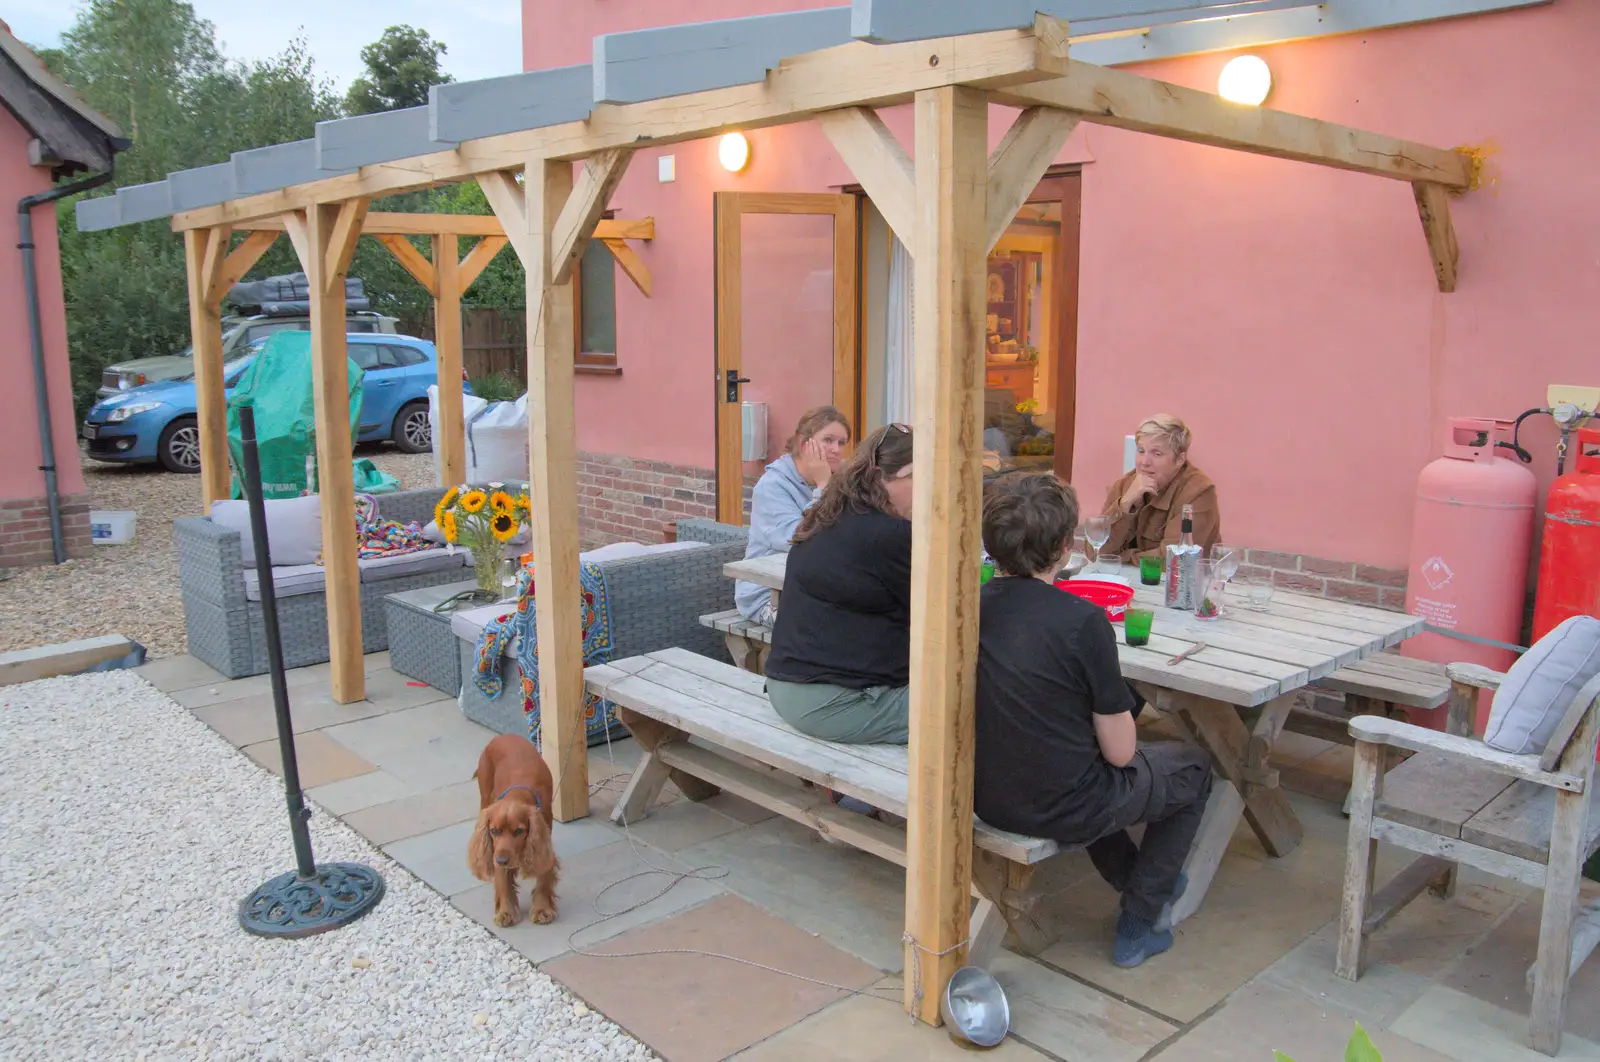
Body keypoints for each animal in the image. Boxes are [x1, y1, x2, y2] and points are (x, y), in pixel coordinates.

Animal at [467, 735, 560, 927]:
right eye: (494, 831)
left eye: (518, 831)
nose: (502, 860)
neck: (519, 792)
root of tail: (502, 736)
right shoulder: (498, 851)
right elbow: (502, 879)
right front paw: (505, 912)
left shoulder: (543, 843)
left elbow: (543, 875)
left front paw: (542, 910)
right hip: (485, 793)